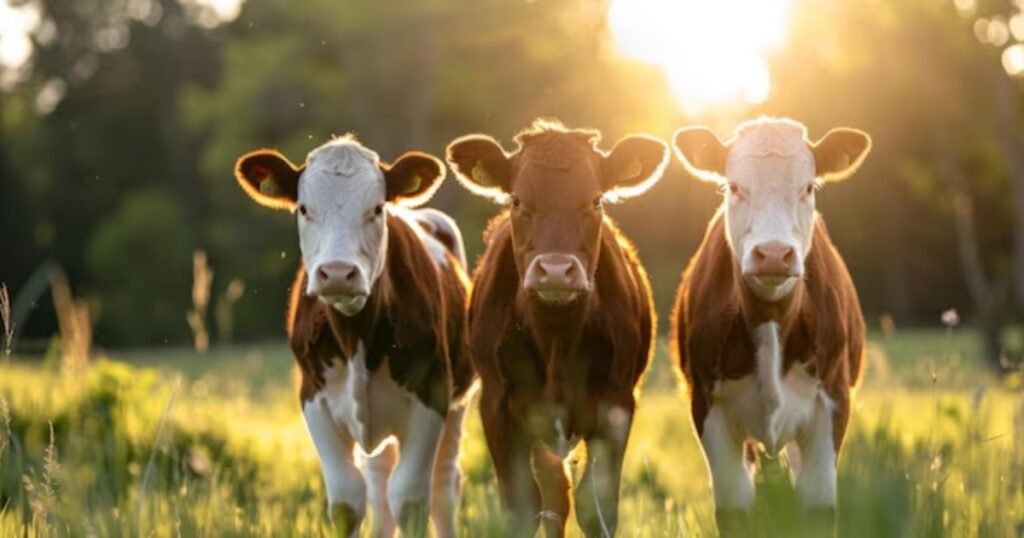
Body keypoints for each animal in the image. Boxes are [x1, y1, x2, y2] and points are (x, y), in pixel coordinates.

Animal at [233, 136, 474, 538]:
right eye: (304, 208)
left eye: (376, 208)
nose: (337, 273)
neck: (356, 339)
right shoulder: (314, 398)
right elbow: (348, 500)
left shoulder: (432, 394)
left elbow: (409, 497)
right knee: (378, 480)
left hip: (457, 402)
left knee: (443, 484)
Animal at [446, 119, 667, 537]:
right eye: (517, 201)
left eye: (596, 201)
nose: (554, 270)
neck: (557, 340)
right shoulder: (497, 407)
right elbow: (522, 506)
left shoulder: (617, 405)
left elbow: (595, 505)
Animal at [670, 117, 871, 536]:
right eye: (734, 186)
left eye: (808, 187)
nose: (775, 253)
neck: (772, 323)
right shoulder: (707, 407)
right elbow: (734, 510)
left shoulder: (832, 402)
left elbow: (817, 508)